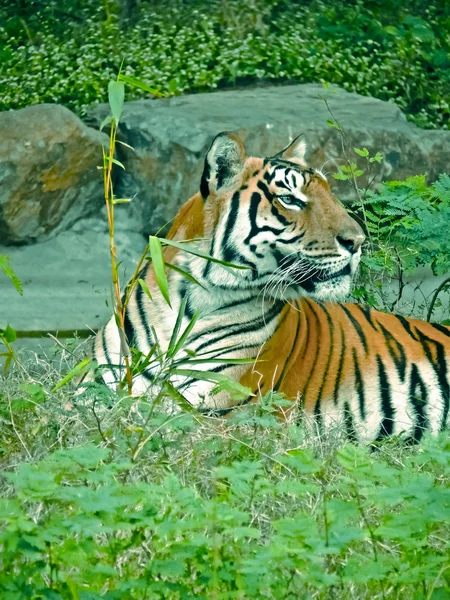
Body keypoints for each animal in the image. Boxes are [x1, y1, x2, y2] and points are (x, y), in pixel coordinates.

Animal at [89, 131, 450, 442]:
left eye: (330, 194)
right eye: (290, 199)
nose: (358, 241)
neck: (184, 304)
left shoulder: (213, 412)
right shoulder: (94, 391)